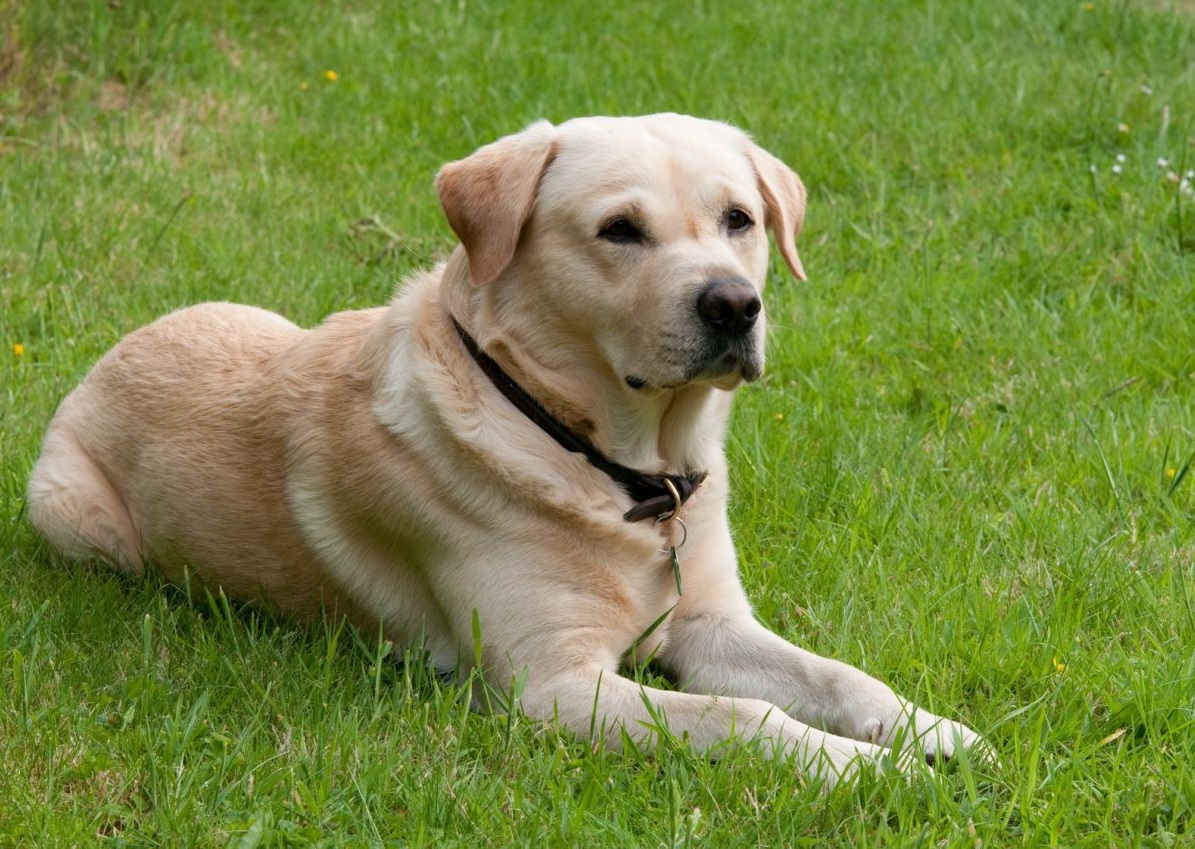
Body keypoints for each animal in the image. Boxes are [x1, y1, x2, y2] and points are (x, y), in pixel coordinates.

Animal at [28, 114, 984, 789]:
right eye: (619, 229)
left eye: (739, 219)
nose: (733, 303)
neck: (619, 468)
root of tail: (115, 349)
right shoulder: (553, 687)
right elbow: (742, 716)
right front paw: (877, 771)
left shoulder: (710, 622)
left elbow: (841, 677)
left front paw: (935, 733)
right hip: (75, 516)